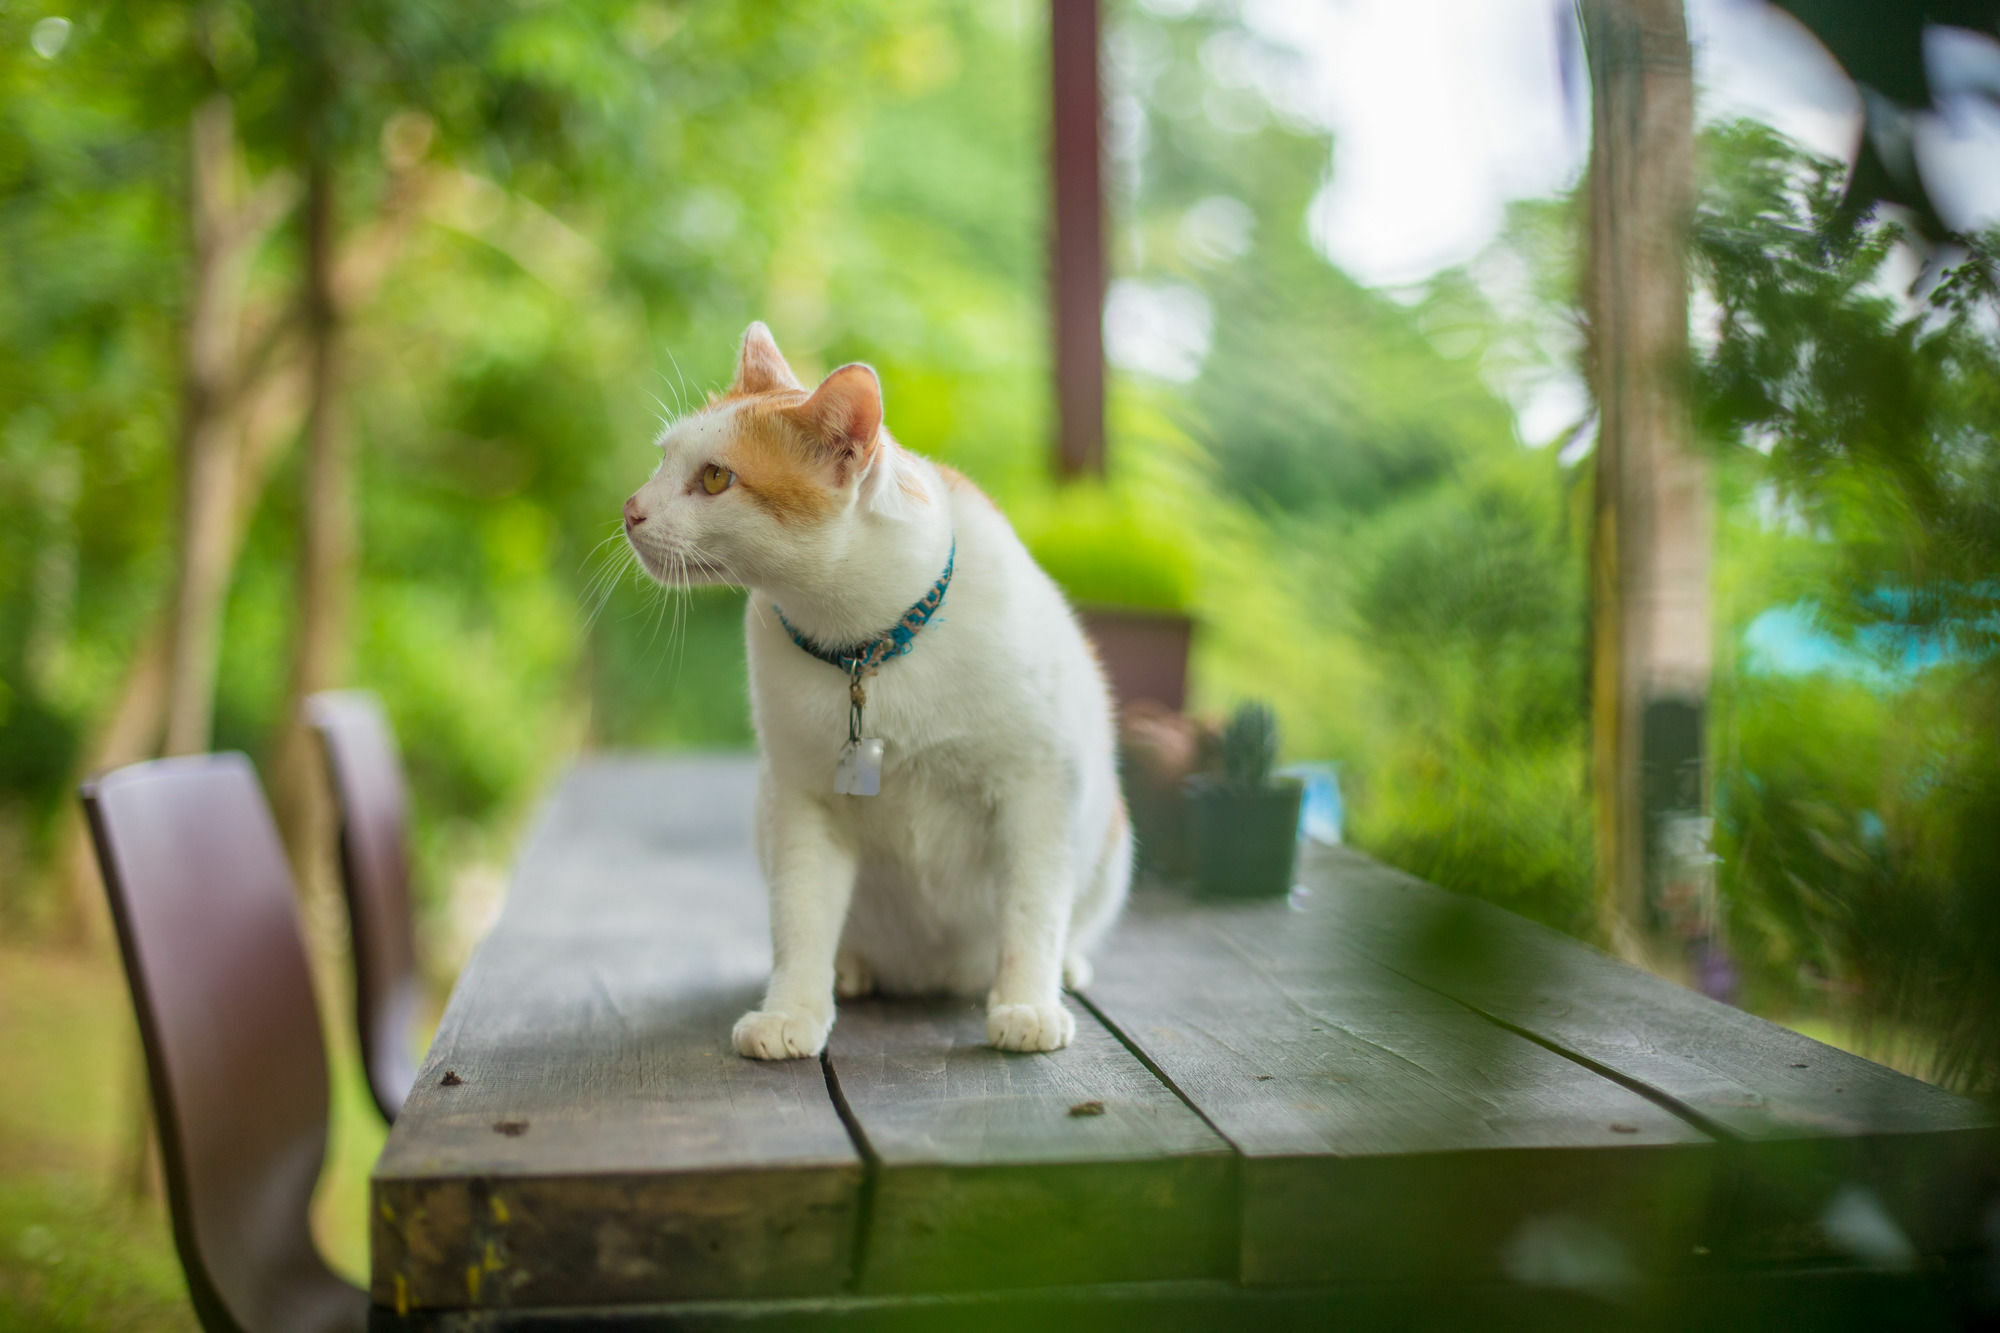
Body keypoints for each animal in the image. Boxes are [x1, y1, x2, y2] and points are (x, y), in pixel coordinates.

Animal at [624, 324, 1128, 1056]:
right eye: (663, 461)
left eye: (715, 477)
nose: (629, 510)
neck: (866, 644)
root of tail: (934, 975)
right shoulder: (802, 801)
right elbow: (800, 916)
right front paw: (792, 1011)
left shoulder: (1037, 788)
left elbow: (1031, 910)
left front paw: (1027, 1002)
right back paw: (852, 967)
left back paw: (1062, 968)